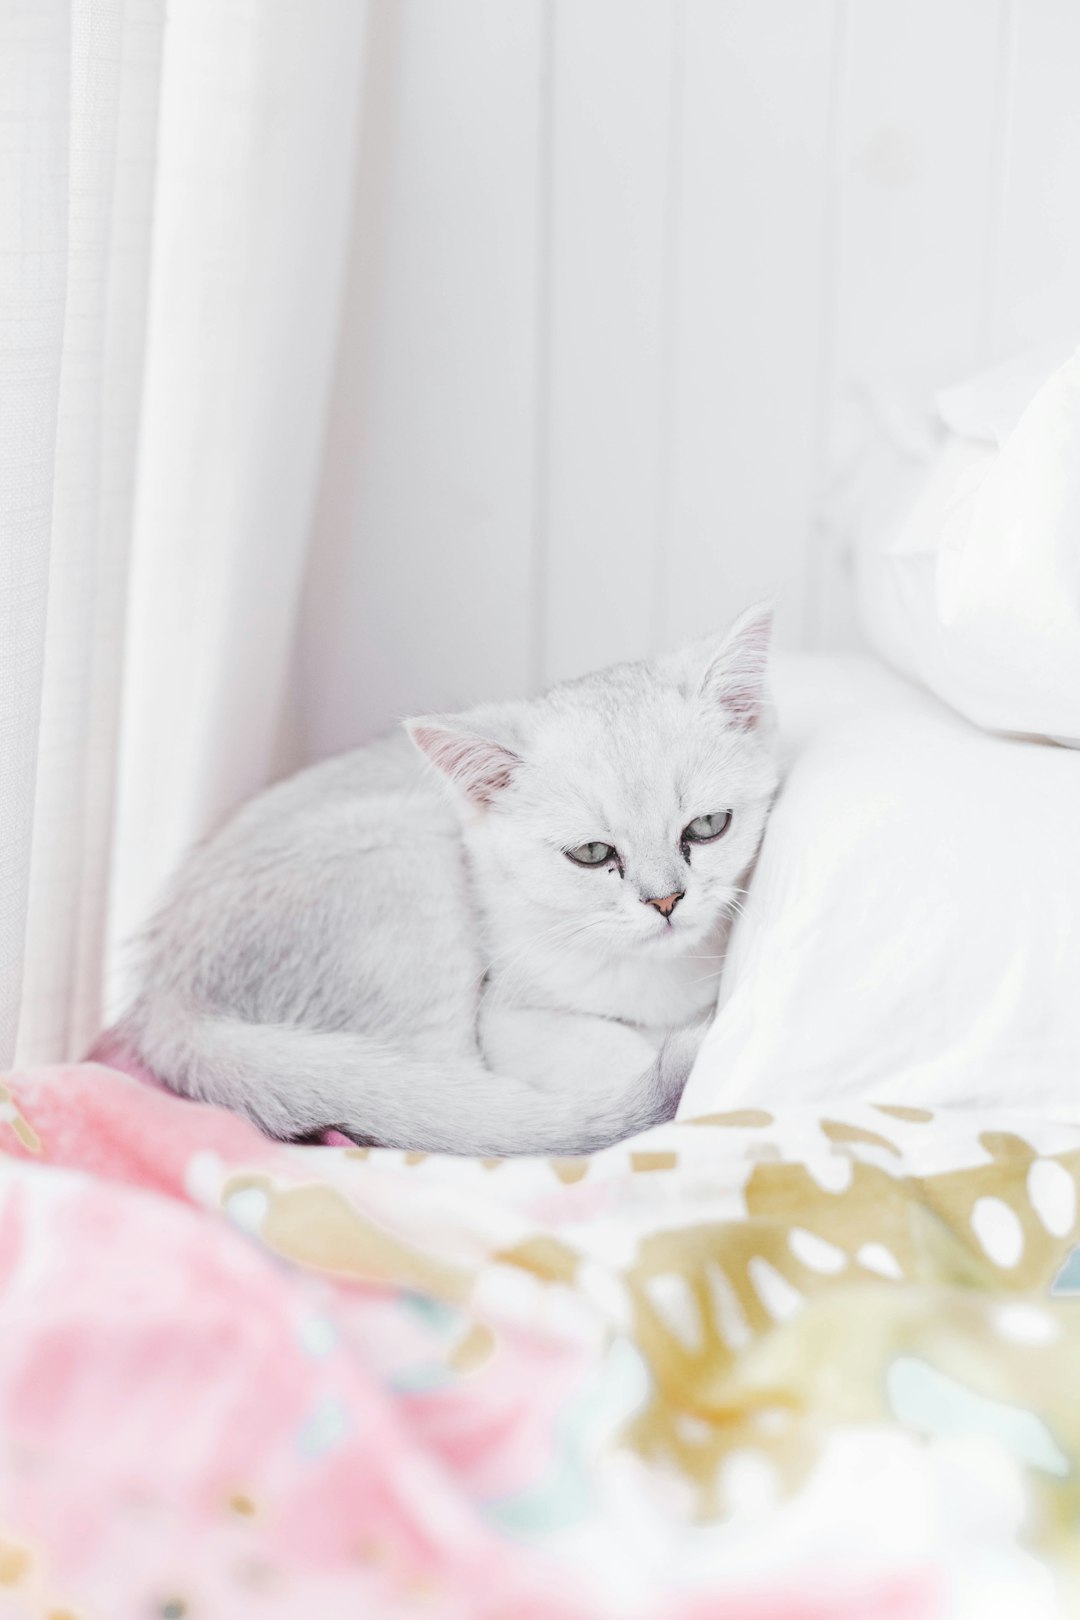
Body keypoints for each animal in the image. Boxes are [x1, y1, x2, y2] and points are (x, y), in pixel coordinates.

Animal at [111, 605, 777, 1153]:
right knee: (458, 1112)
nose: (666, 900)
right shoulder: (508, 1022)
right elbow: (617, 1054)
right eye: (591, 853)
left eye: (708, 826)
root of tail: (168, 1000)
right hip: (406, 865)